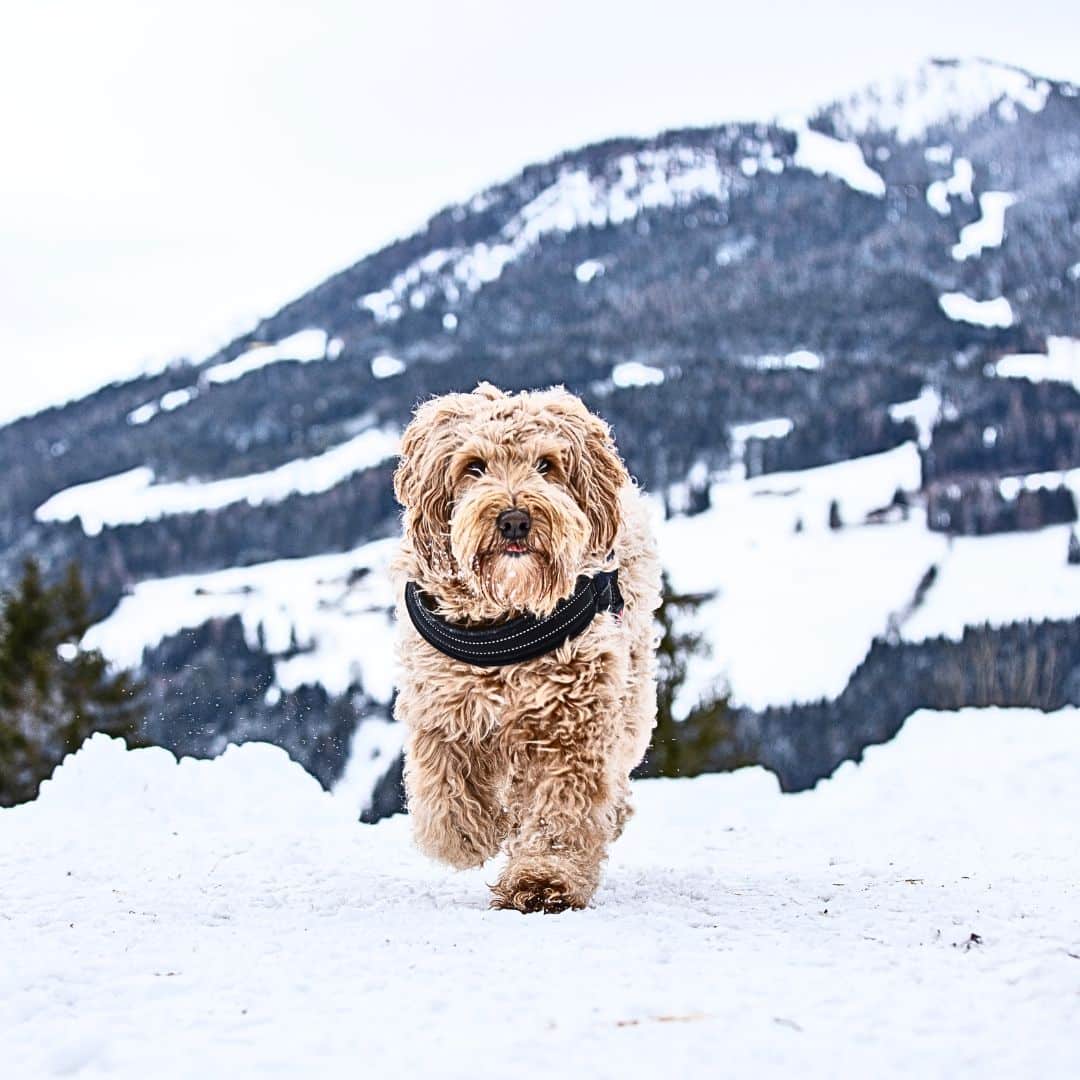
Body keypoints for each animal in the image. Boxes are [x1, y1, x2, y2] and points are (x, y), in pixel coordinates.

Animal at [388, 384, 656, 907]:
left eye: (546, 465)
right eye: (473, 466)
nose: (514, 520)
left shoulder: (573, 722)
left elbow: (560, 811)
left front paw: (544, 879)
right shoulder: (440, 705)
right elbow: (443, 794)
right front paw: (471, 837)